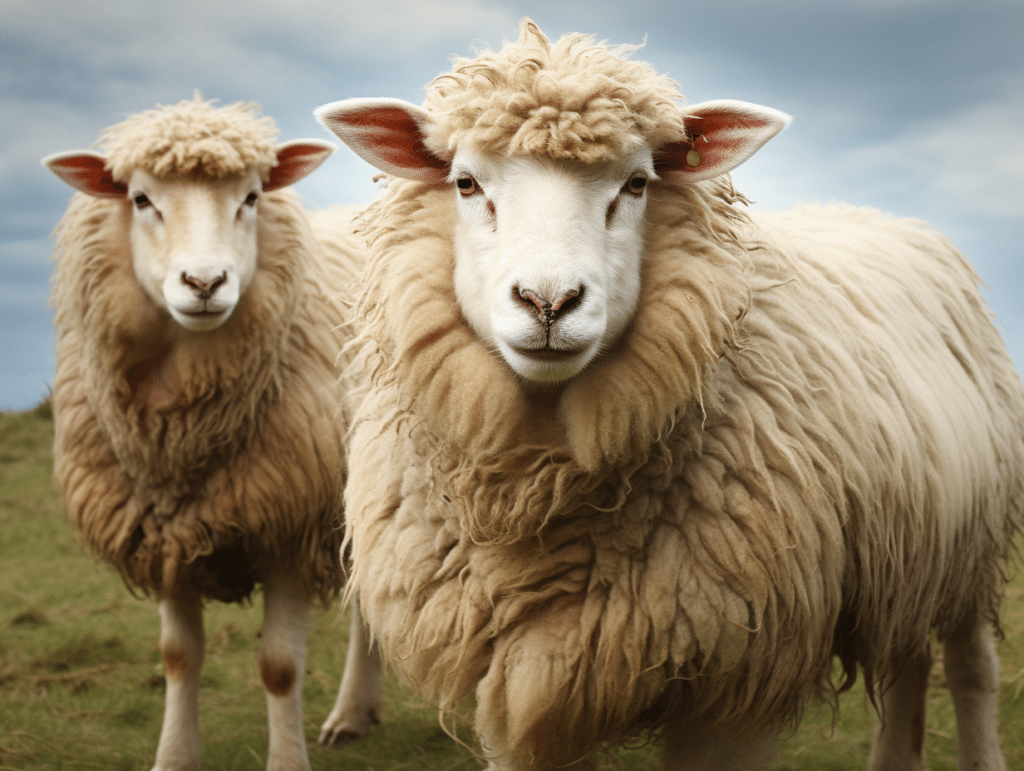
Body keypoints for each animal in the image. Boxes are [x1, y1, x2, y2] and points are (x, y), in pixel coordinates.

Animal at [43, 95, 382, 771]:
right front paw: (174, 757)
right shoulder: (164, 532)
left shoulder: (288, 523)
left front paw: (287, 761)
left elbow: (279, 667)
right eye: (140, 199)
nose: (204, 284)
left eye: (250, 197)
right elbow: (179, 659)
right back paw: (354, 715)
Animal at [314, 19, 1024, 771]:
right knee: (906, 660)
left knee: (971, 668)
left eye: (636, 184)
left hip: (977, 542)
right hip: (915, 548)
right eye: (465, 182)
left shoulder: (732, 683)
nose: (548, 302)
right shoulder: (516, 684)